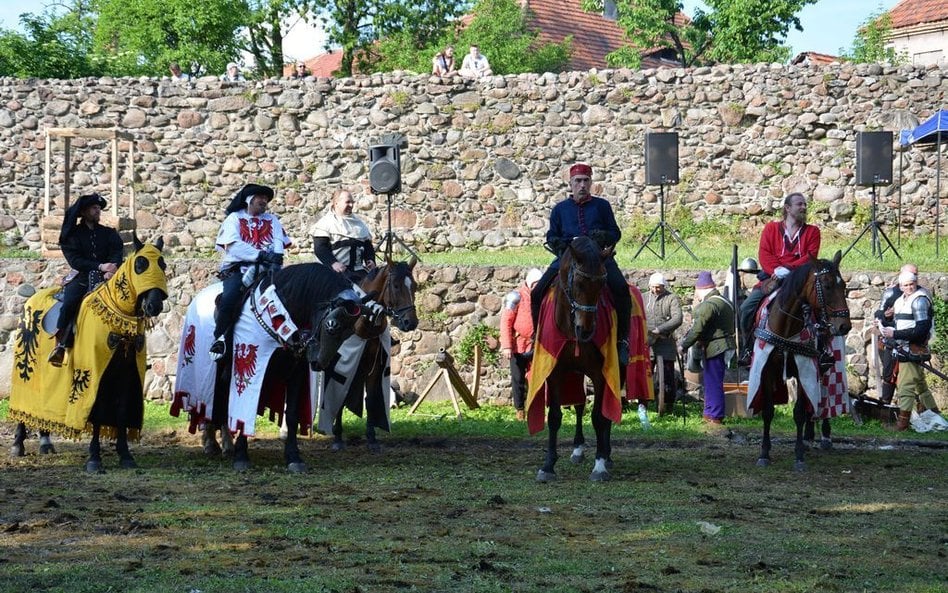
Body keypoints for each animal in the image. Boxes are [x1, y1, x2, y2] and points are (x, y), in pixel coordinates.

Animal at [324, 256, 416, 450]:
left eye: (415, 286)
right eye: (396, 285)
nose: (410, 322)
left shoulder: (373, 368)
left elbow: (371, 399)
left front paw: (372, 438)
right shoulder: (341, 368)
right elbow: (339, 397)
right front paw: (337, 437)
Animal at [524, 235, 624, 480]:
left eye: (602, 285)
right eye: (578, 283)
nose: (585, 331)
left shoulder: (600, 374)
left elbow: (599, 417)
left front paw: (599, 465)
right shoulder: (554, 371)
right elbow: (554, 417)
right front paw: (548, 465)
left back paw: (606, 454)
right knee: (579, 405)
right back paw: (578, 449)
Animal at [748, 251, 852, 472]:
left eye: (844, 287)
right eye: (827, 286)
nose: (844, 326)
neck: (786, 327)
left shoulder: (806, 368)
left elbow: (799, 413)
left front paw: (799, 457)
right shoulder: (766, 370)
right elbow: (768, 411)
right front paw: (764, 453)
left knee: (821, 401)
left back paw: (823, 437)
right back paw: (808, 437)